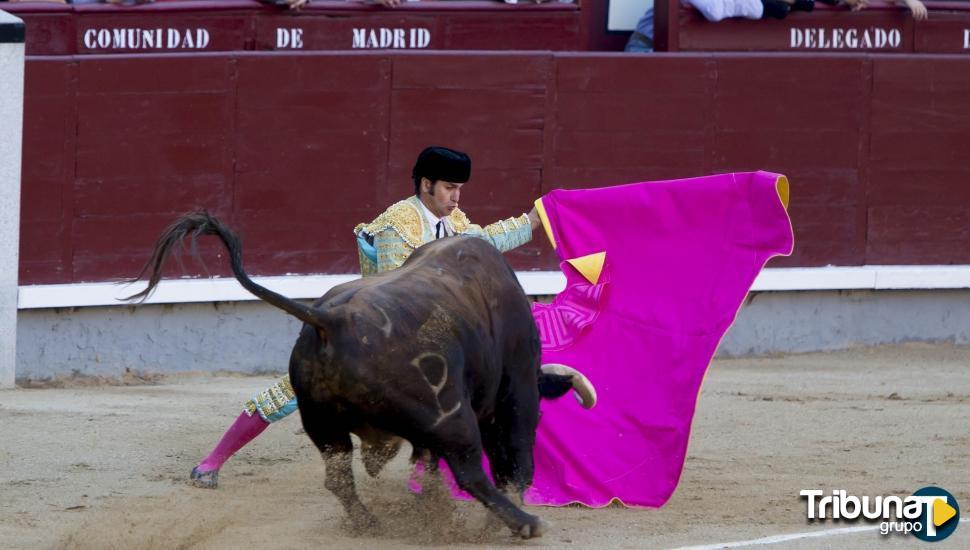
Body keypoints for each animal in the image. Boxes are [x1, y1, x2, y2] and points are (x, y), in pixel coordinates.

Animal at [126, 213, 596, 540]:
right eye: (542, 418)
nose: (525, 486)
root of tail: (330, 320)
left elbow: (426, 464)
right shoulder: (517, 391)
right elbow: (504, 444)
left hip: (323, 422)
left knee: (339, 475)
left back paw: (373, 522)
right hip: (450, 415)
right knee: (467, 468)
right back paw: (522, 521)